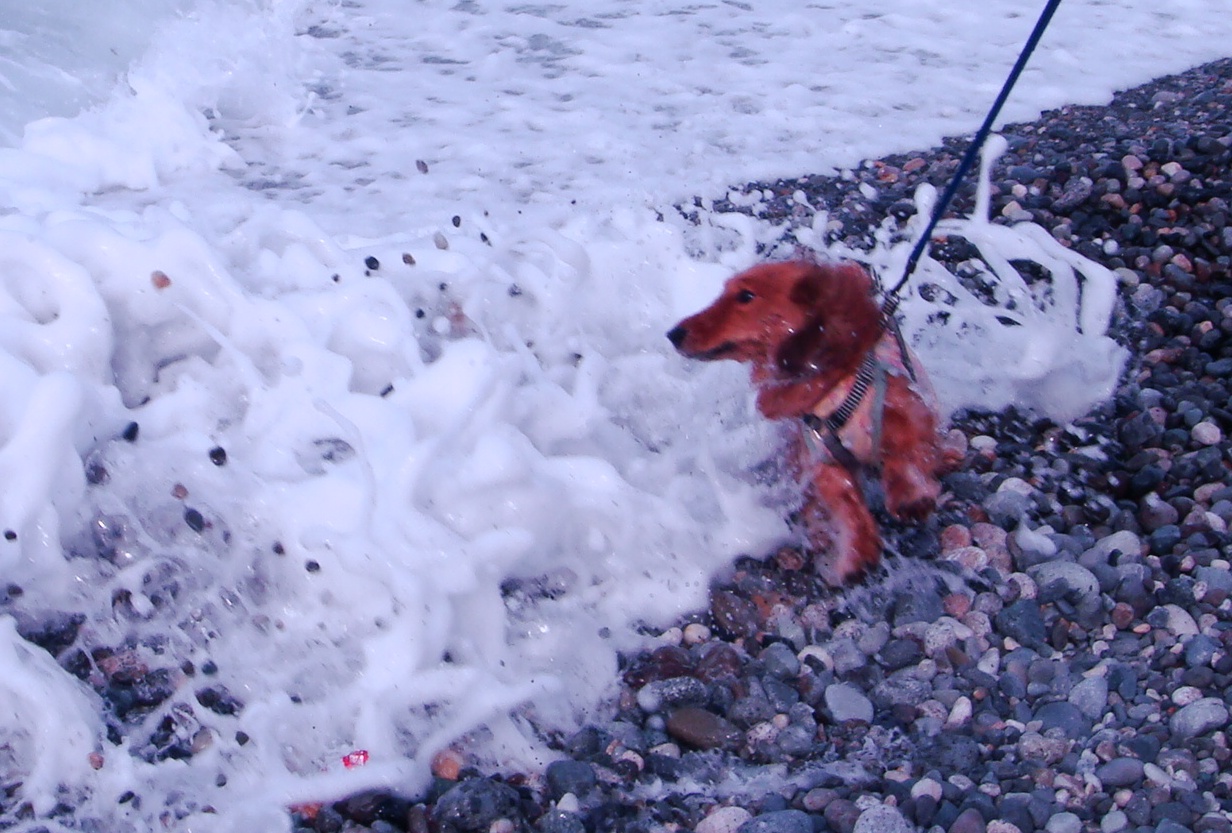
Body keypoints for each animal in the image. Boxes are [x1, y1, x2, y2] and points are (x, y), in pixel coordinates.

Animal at [670, 260, 946, 586]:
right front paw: (857, 553)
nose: (673, 334)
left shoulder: (906, 407)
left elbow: (908, 449)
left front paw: (909, 495)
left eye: (746, 296)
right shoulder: (820, 456)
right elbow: (847, 502)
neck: (830, 381)